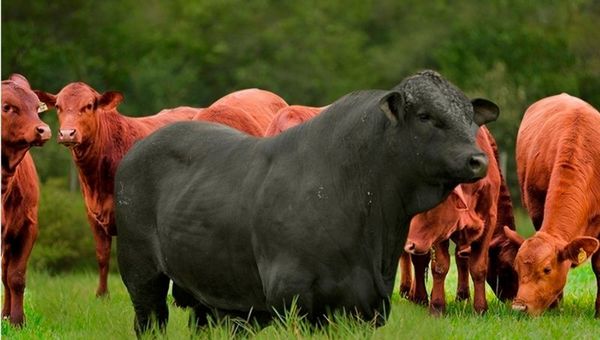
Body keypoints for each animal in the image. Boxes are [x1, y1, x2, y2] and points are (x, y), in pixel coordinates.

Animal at [35, 83, 198, 298]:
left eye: (88, 105)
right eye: (59, 107)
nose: (67, 133)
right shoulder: (92, 215)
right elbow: (102, 256)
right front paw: (102, 294)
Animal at [400, 126, 504, 314]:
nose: (409, 243)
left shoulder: (489, 221)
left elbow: (478, 267)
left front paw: (480, 308)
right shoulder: (437, 233)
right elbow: (440, 266)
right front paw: (437, 306)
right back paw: (416, 295)